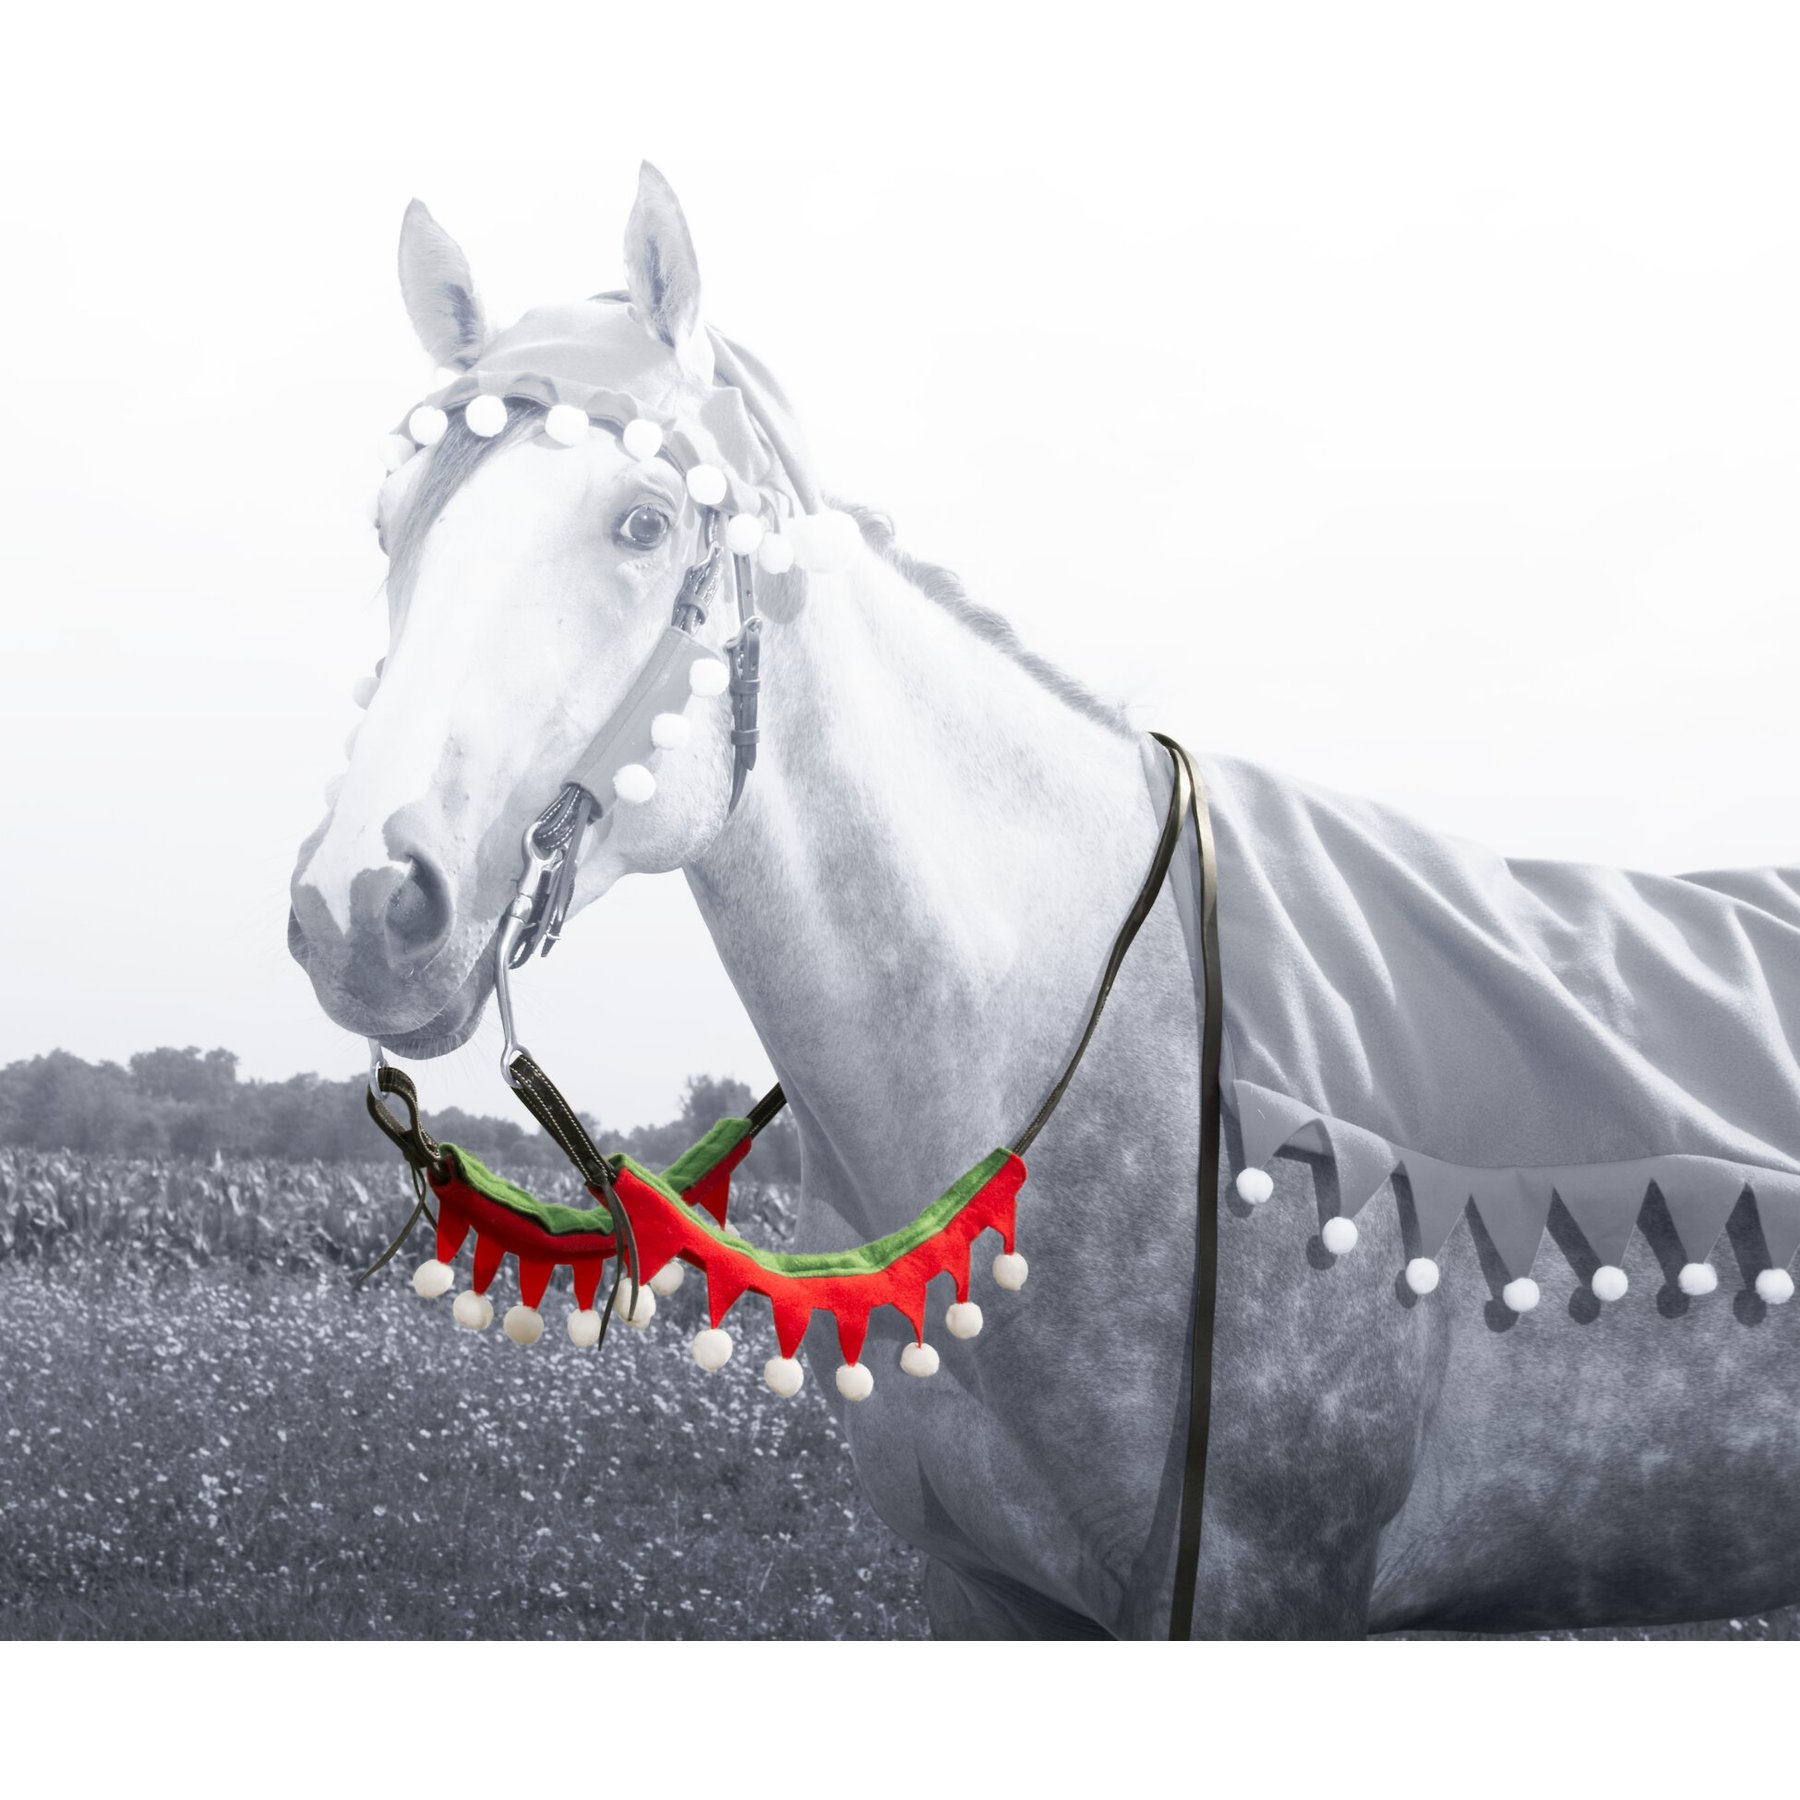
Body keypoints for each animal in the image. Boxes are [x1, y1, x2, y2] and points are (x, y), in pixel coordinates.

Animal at [288, 164, 1800, 1638]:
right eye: (391, 527)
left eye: (643, 522)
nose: (362, 904)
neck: (1087, 1046)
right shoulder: (988, 1595)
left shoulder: (1257, 1592)